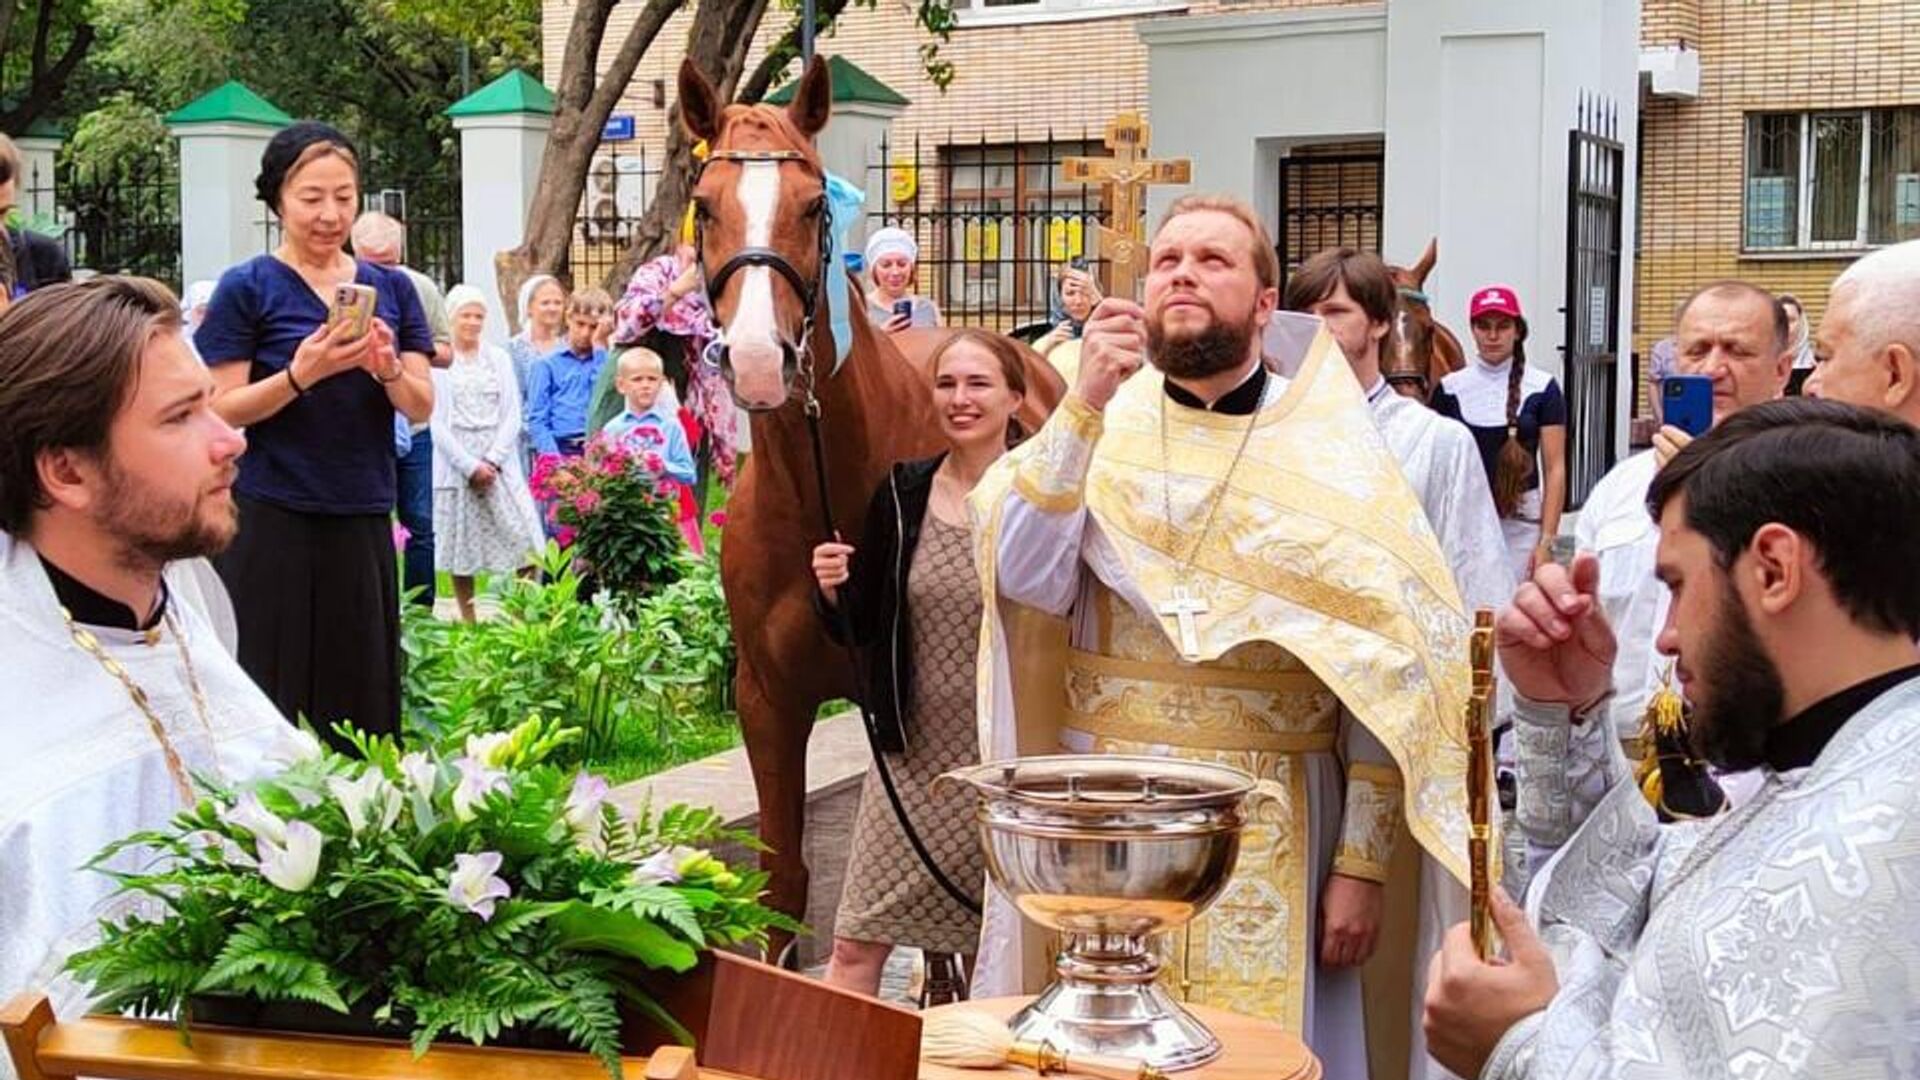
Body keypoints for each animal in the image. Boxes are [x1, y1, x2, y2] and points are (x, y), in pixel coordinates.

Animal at [675, 58, 1067, 949]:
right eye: (705, 205)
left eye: (814, 204)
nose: (758, 360)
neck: (815, 485)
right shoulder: (768, 699)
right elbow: (783, 881)